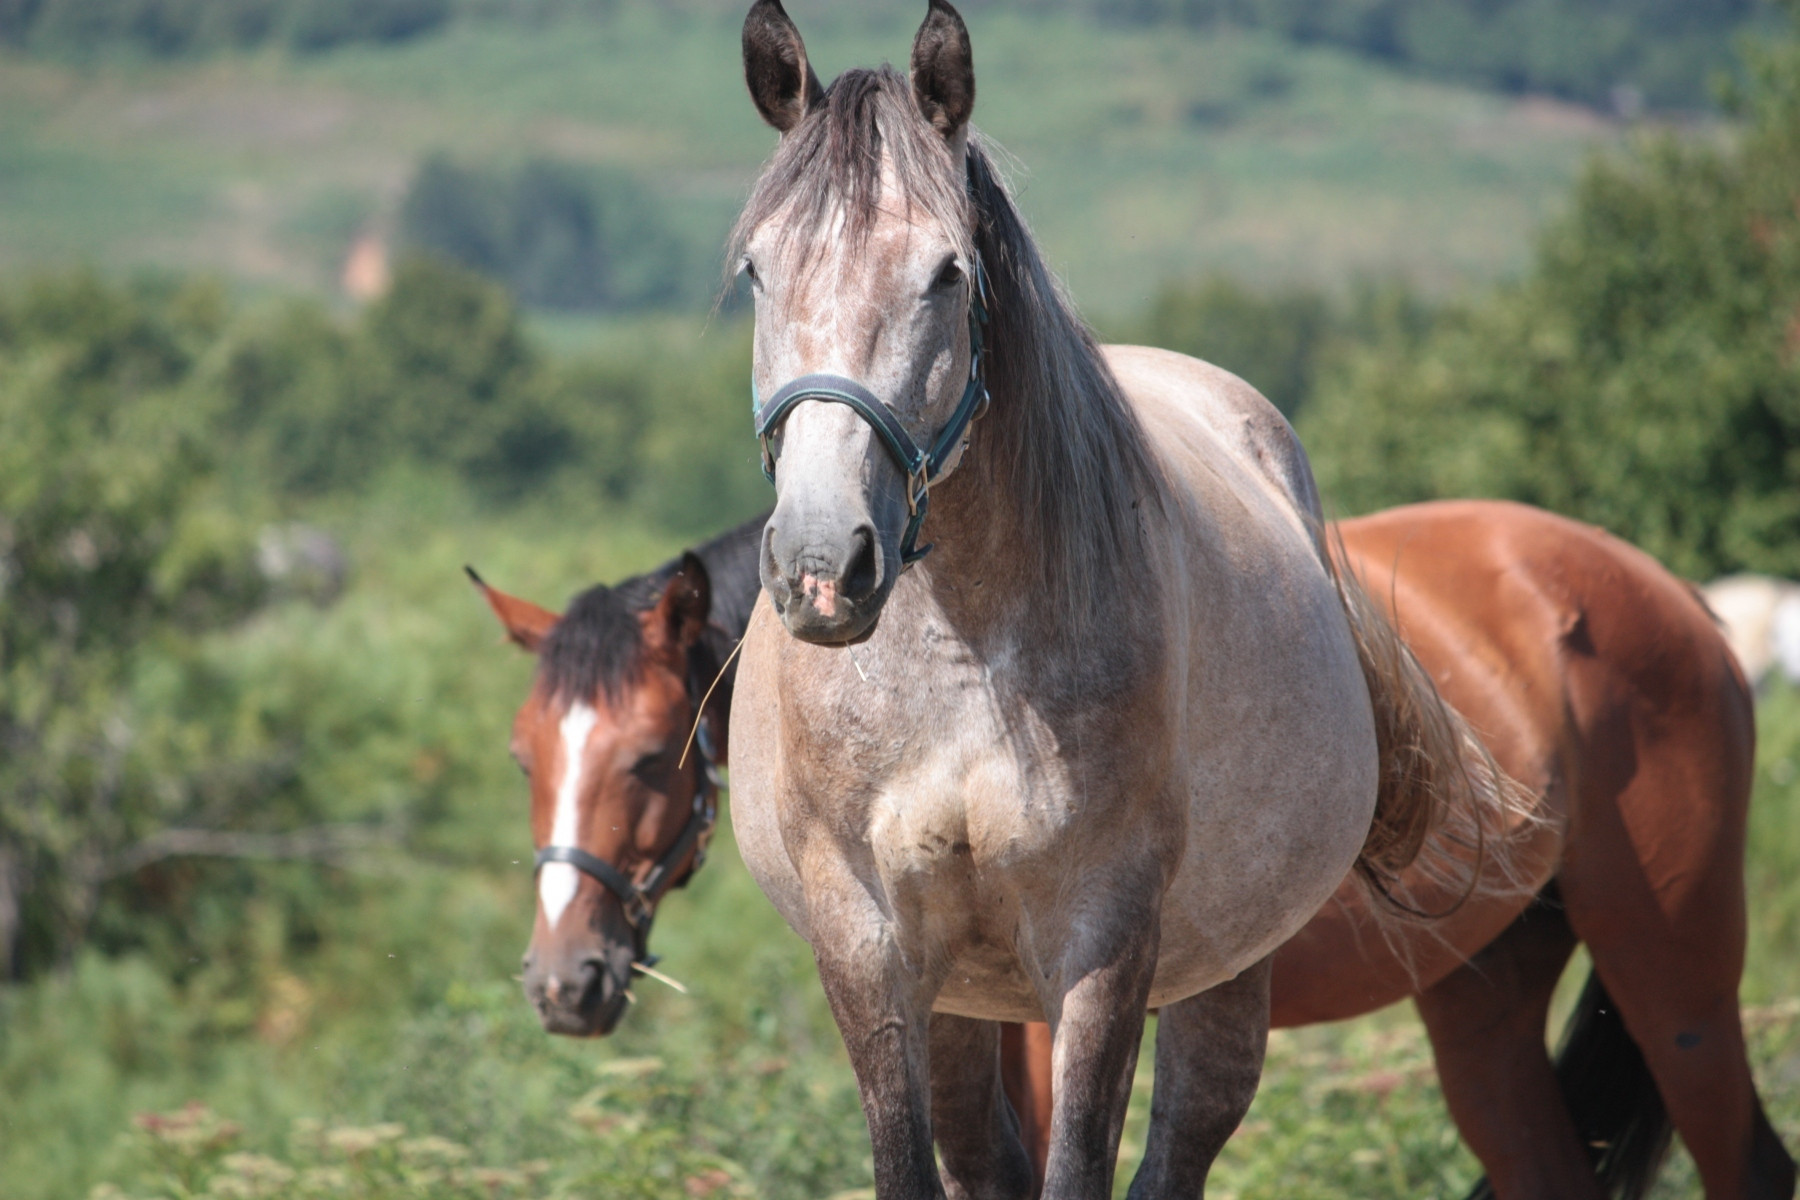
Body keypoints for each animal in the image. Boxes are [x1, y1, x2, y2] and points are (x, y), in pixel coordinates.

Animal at [716, 4, 1519, 1194]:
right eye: (761, 272)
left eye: (946, 273)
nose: (822, 564)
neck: (961, 657)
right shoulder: (867, 939)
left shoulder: (1102, 941)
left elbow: (1083, 1163)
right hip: (964, 993)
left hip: (1227, 962)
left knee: (1182, 1139)